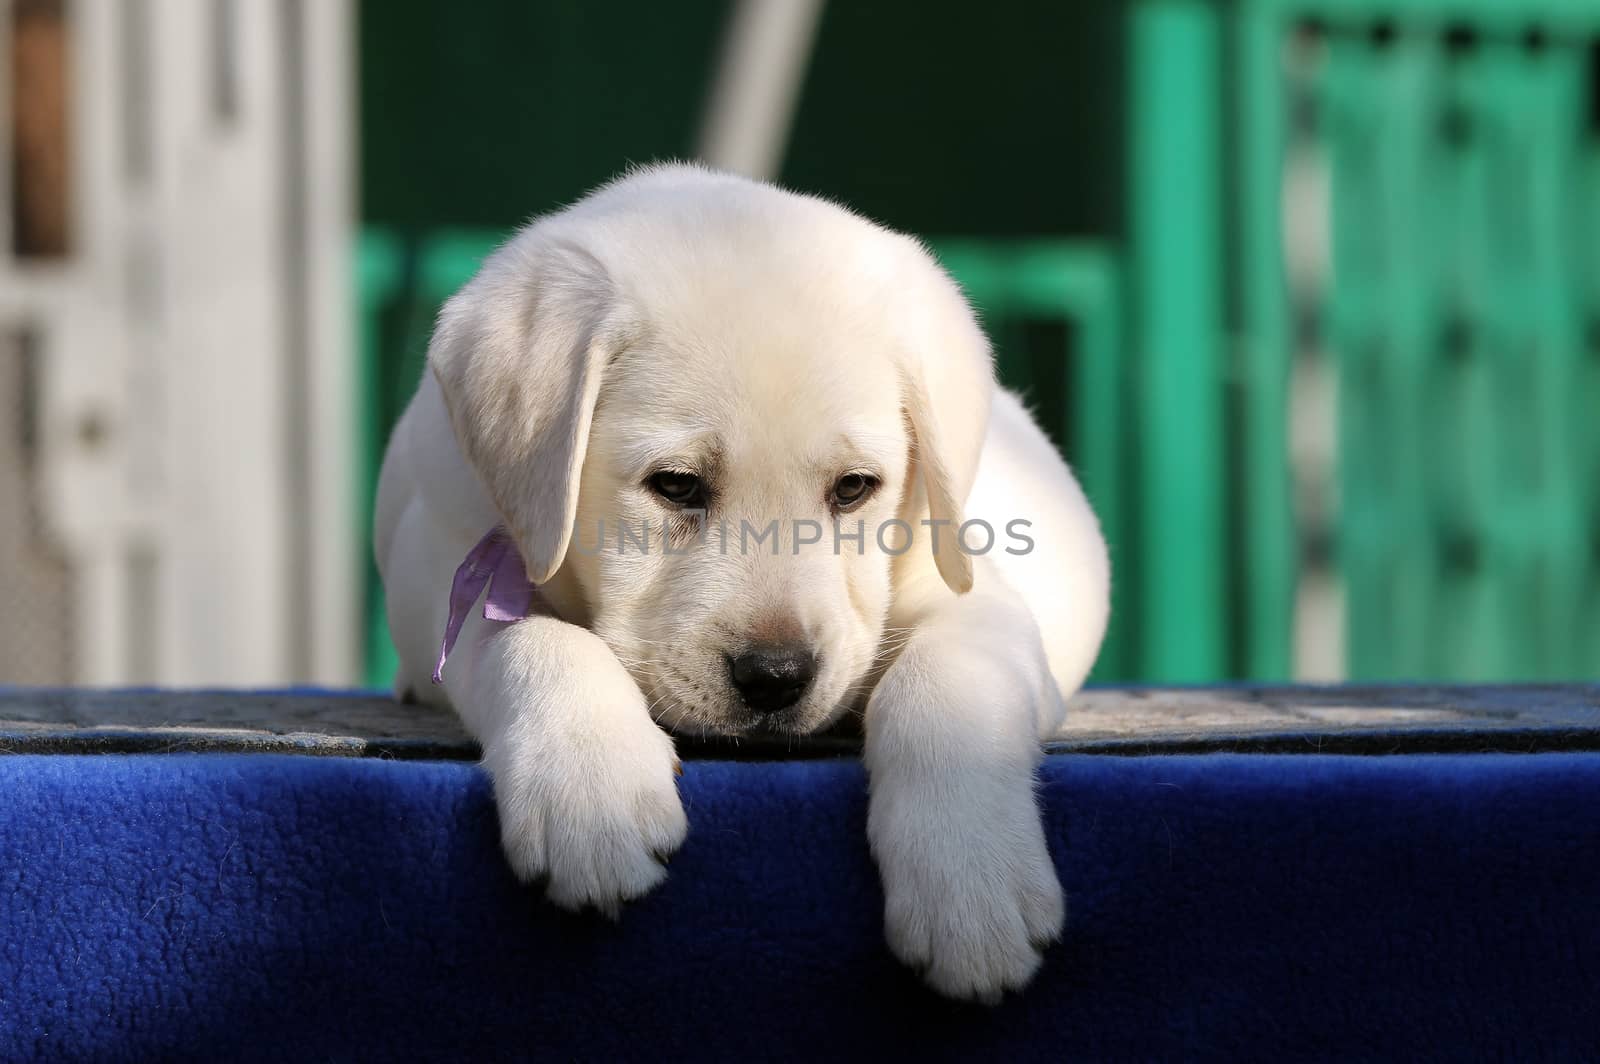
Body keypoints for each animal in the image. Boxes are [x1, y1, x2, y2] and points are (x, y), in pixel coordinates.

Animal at [371, 164, 1113, 998]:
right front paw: (590, 790)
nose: (776, 676)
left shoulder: (970, 595)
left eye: (854, 488)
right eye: (676, 485)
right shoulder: (448, 572)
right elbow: (531, 639)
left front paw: (970, 882)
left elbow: (949, 684)